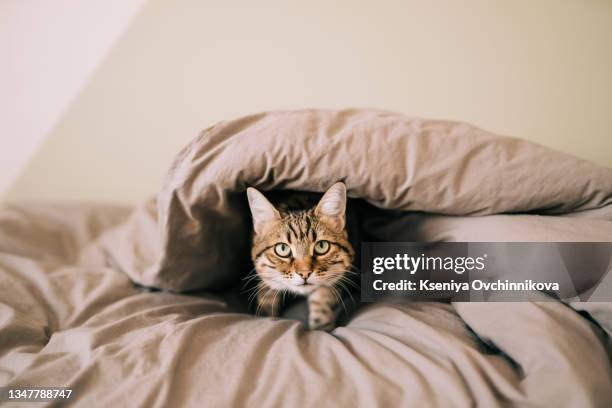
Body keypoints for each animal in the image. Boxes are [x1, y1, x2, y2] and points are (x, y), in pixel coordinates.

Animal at [246, 183, 356, 330]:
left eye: (322, 246)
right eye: (282, 248)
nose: (305, 273)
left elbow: (323, 301)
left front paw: (321, 327)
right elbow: (267, 295)